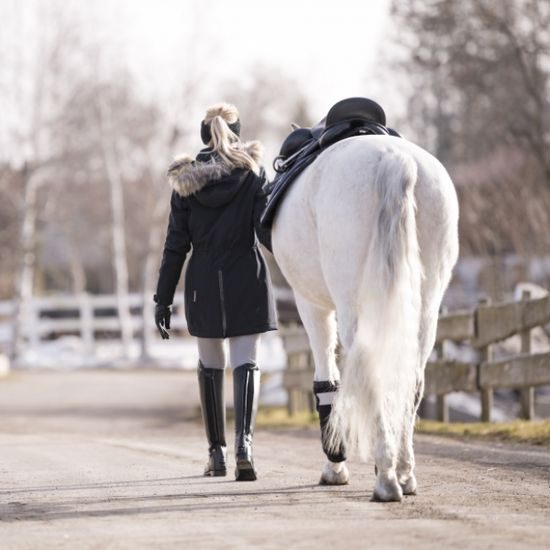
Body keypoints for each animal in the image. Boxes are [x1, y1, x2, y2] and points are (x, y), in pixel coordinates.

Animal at [272, 136, 462, 502]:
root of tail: (395, 160)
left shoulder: (309, 303)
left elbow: (327, 382)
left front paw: (335, 464)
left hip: (350, 309)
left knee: (372, 374)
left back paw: (386, 477)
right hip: (426, 309)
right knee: (411, 382)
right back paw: (403, 472)